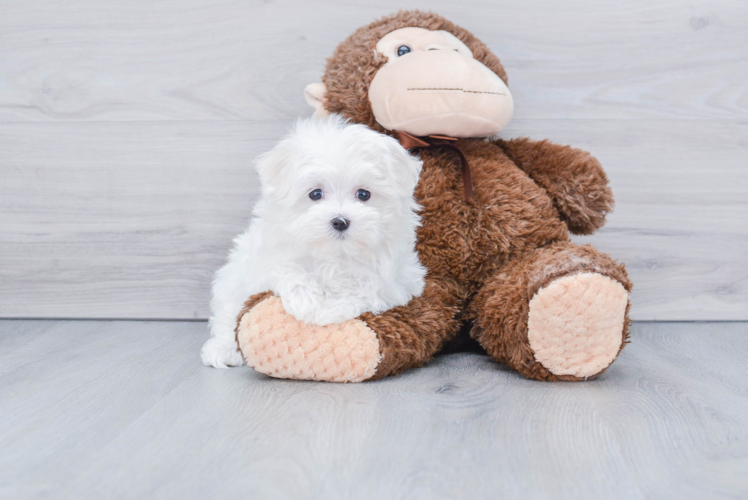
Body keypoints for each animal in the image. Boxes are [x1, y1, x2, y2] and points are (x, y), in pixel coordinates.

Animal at [202, 115, 426, 370]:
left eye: (364, 194)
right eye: (315, 194)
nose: (340, 221)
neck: (334, 255)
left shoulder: (395, 282)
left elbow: (364, 290)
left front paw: (327, 310)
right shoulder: (266, 258)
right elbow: (288, 270)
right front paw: (306, 303)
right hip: (231, 282)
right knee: (227, 315)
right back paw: (223, 349)